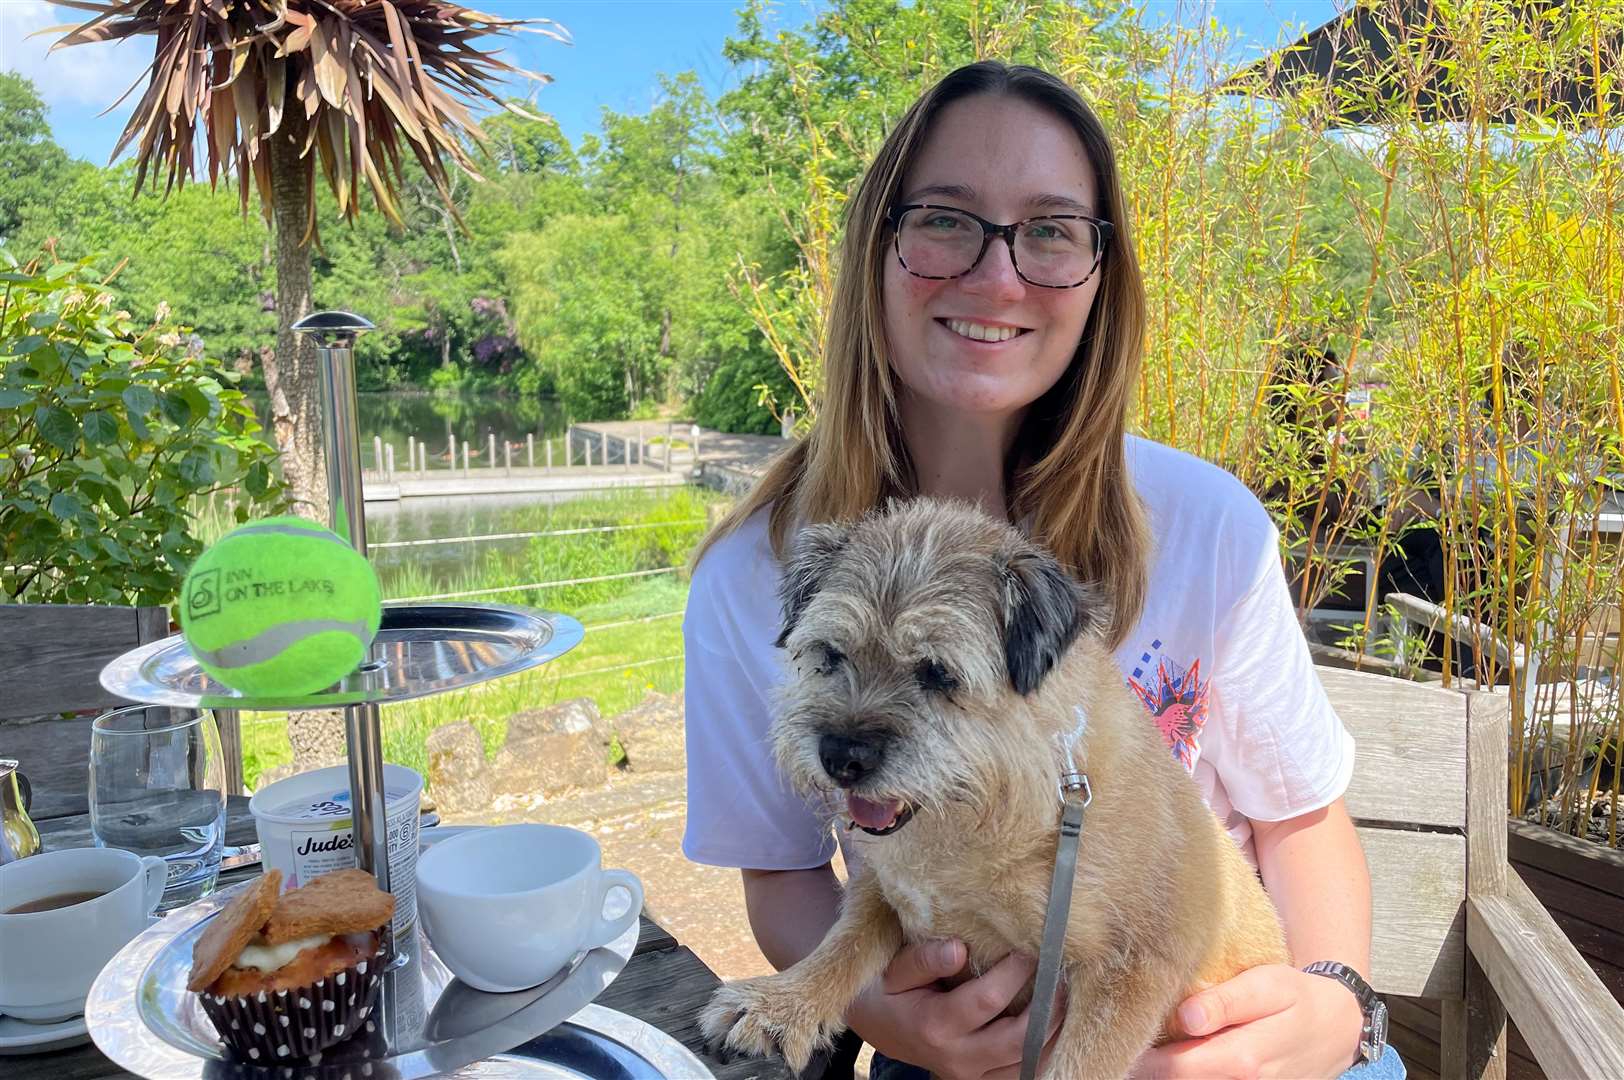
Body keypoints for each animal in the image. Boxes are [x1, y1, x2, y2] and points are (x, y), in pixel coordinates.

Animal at [704, 500, 1286, 1078]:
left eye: (938, 673)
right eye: (830, 653)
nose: (841, 756)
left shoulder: (1135, 966)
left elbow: (1077, 1068)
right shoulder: (883, 886)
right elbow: (842, 944)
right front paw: (782, 1005)